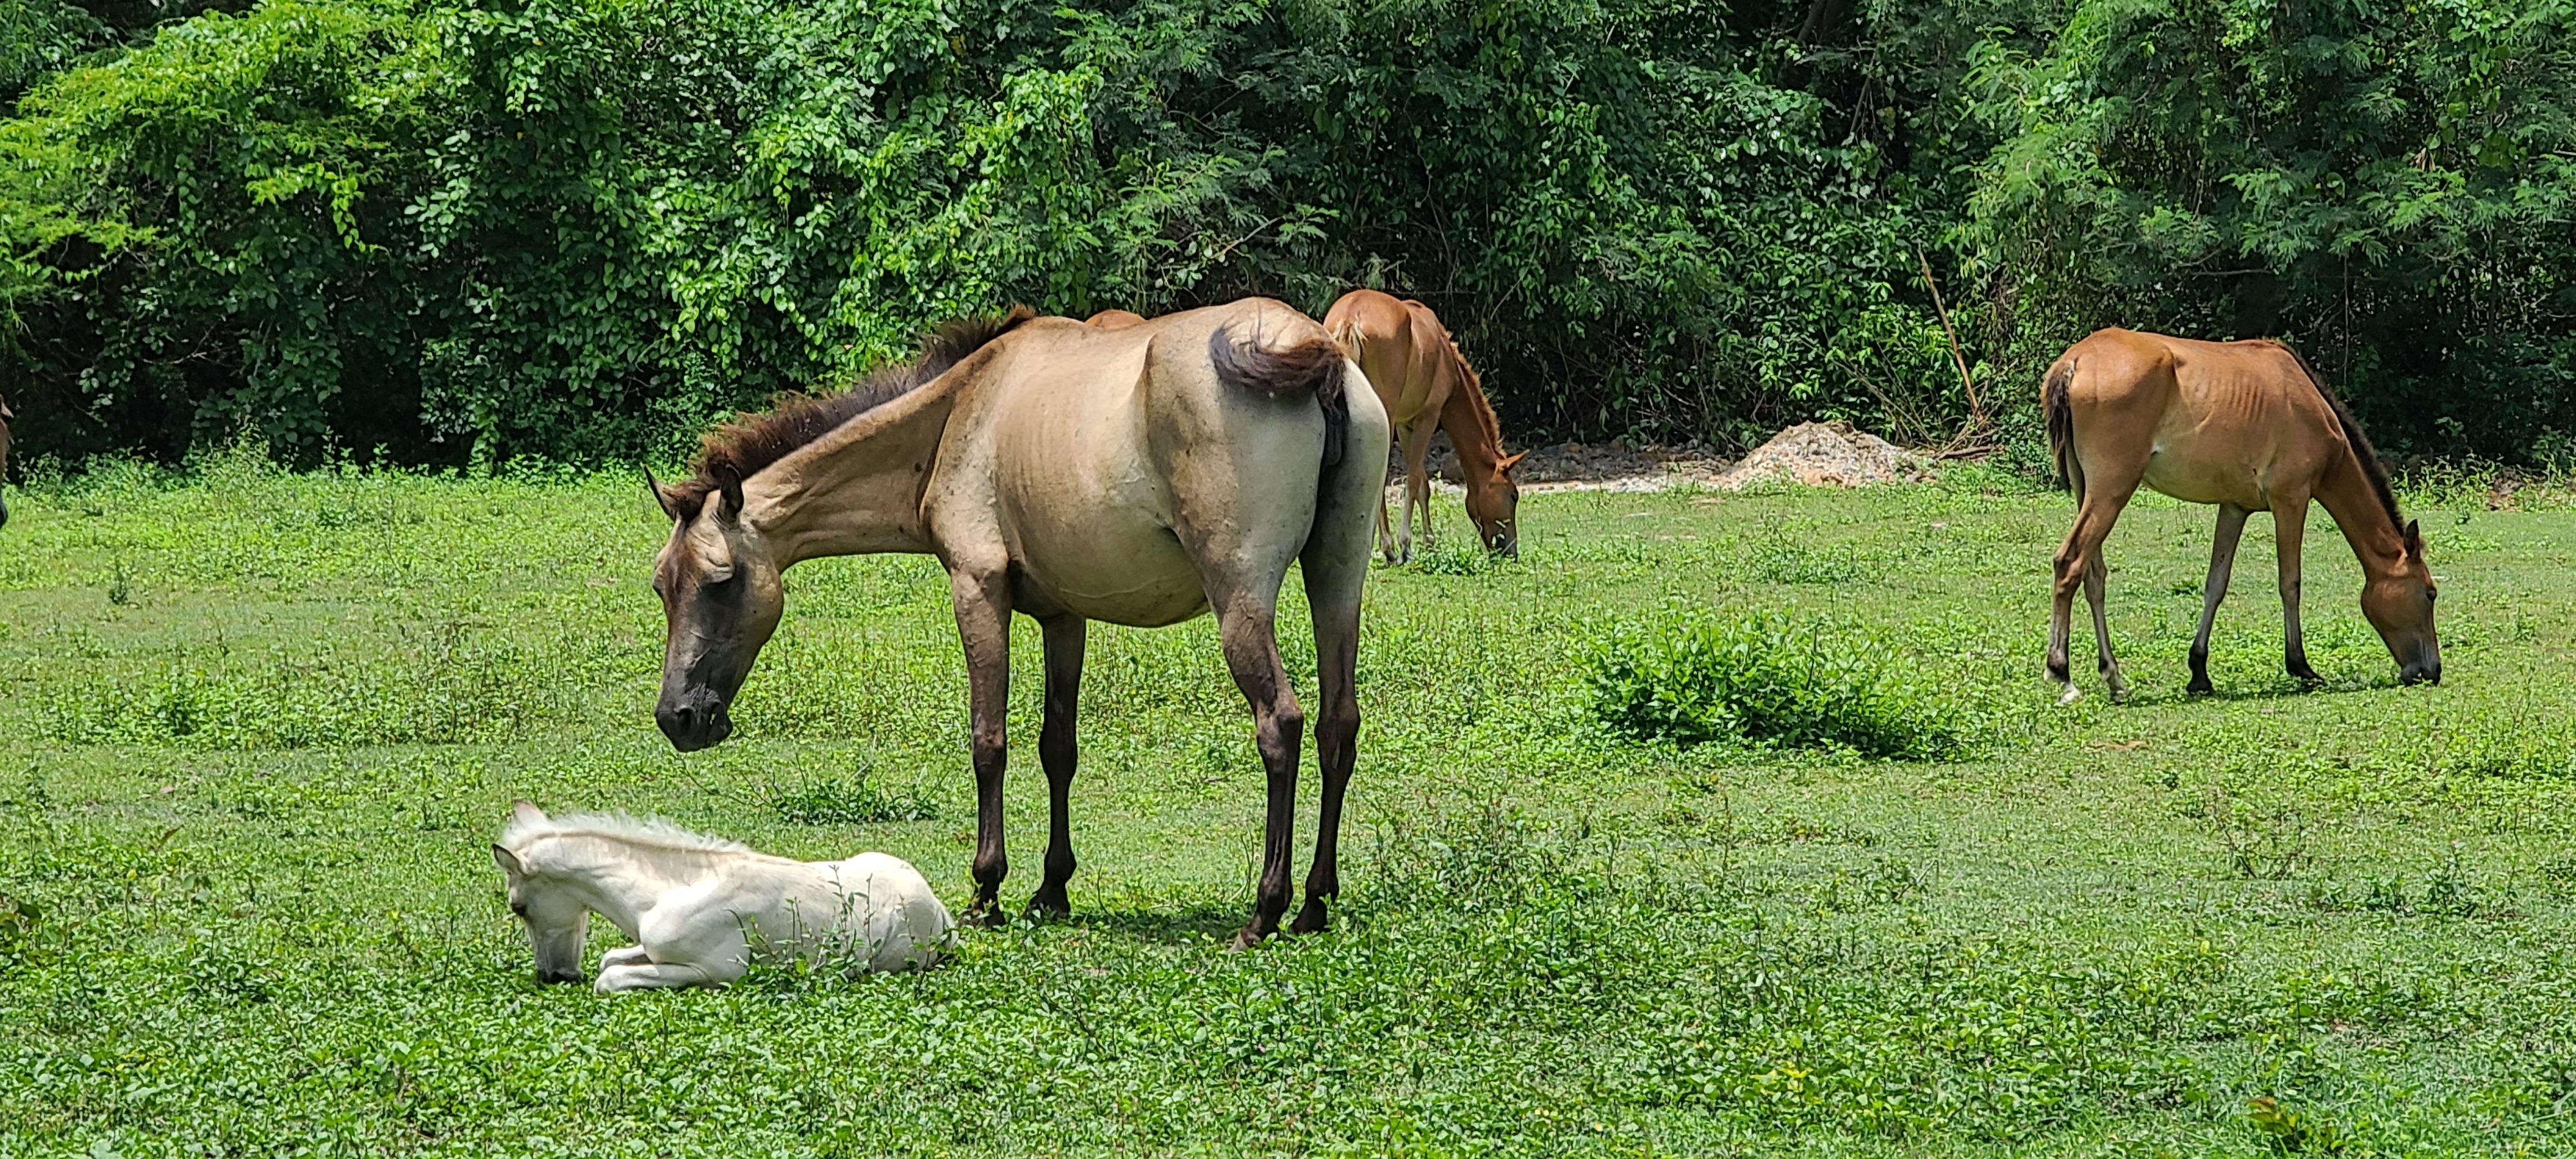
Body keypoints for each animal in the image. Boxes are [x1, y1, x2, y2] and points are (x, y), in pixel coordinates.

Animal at [490, 801, 953, 992]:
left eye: (518, 907)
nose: (554, 975)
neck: (673, 891)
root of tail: (942, 913)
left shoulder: (716, 971)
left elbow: (610, 979)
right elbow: (610, 959)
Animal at [648, 299, 1390, 948]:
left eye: (721, 582)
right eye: (661, 586)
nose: (678, 718)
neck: (960, 410)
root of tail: (1315, 350)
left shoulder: (977, 591)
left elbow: (989, 742)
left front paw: (988, 890)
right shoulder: (1064, 617)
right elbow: (1057, 748)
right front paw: (1051, 889)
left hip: (1240, 599)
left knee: (1281, 724)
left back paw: (1265, 910)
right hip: (1337, 579)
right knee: (1337, 724)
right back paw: (1315, 901)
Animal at [1322, 289, 1524, 561]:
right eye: (1513, 495)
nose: (1512, 552)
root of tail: (1351, 317)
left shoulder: (1406, 424)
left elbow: (1423, 487)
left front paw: (1428, 543)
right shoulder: (1427, 416)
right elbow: (1416, 479)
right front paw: (1408, 545)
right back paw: (1388, 547)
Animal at [2042, 328, 2439, 702]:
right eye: (2430, 593)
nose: (2431, 670)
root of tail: (2076, 360)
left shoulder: (2235, 508)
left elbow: (2215, 585)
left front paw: (2199, 672)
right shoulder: (2291, 501)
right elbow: (2290, 583)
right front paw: (2301, 666)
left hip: (2087, 492)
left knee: (2094, 577)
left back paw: (2114, 678)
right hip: (2111, 491)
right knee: (2069, 563)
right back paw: (2062, 674)